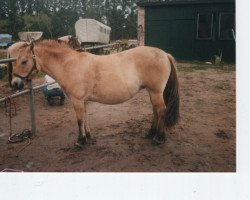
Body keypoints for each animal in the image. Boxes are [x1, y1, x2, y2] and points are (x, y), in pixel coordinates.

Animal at [10, 39, 179, 146]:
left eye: (24, 61)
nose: (14, 84)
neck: (70, 64)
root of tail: (164, 54)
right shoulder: (83, 101)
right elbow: (85, 118)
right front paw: (88, 137)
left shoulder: (77, 100)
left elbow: (79, 120)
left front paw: (80, 141)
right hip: (152, 92)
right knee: (156, 111)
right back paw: (151, 133)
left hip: (155, 92)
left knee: (161, 111)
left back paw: (159, 138)